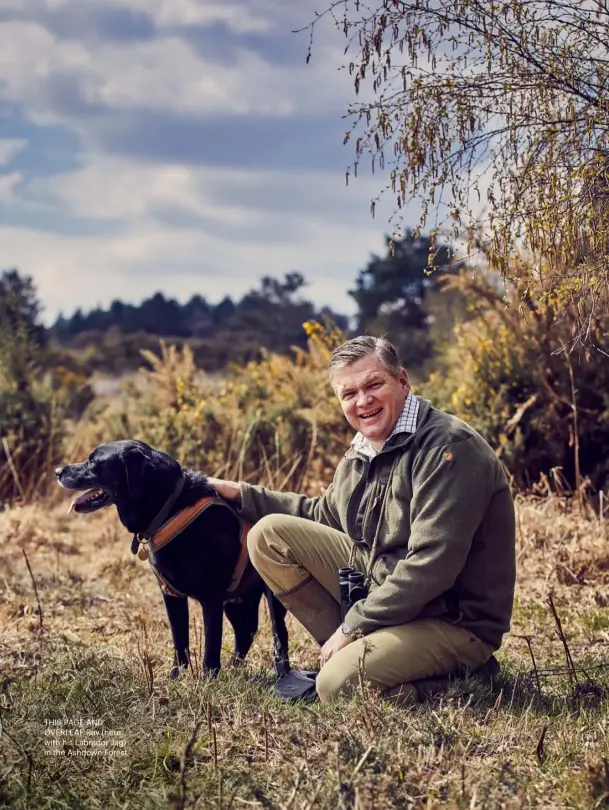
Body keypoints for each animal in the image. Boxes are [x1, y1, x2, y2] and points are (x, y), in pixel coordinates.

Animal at [55, 436, 290, 676]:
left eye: (93, 461)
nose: (57, 471)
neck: (169, 508)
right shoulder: (171, 595)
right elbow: (179, 639)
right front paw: (177, 675)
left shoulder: (211, 598)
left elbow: (211, 644)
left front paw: (209, 678)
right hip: (237, 601)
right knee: (246, 631)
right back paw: (234, 667)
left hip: (271, 597)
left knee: (279, 635)